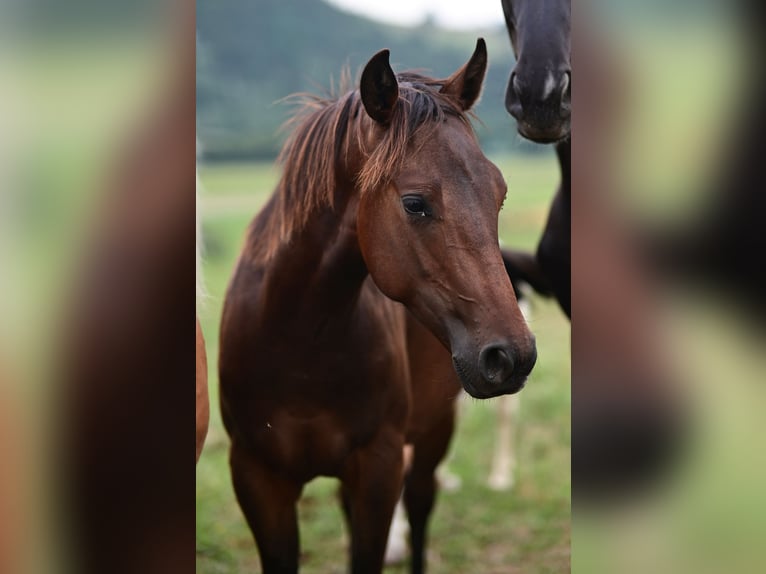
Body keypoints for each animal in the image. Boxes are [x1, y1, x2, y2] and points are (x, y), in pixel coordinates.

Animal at [218, 39, 537, 574]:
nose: (512, 357)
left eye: (500, 195)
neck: (297, 343)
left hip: (432, 433)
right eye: (414, 203)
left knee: (422, 505)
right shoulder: (257, 478)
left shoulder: (379, 468)